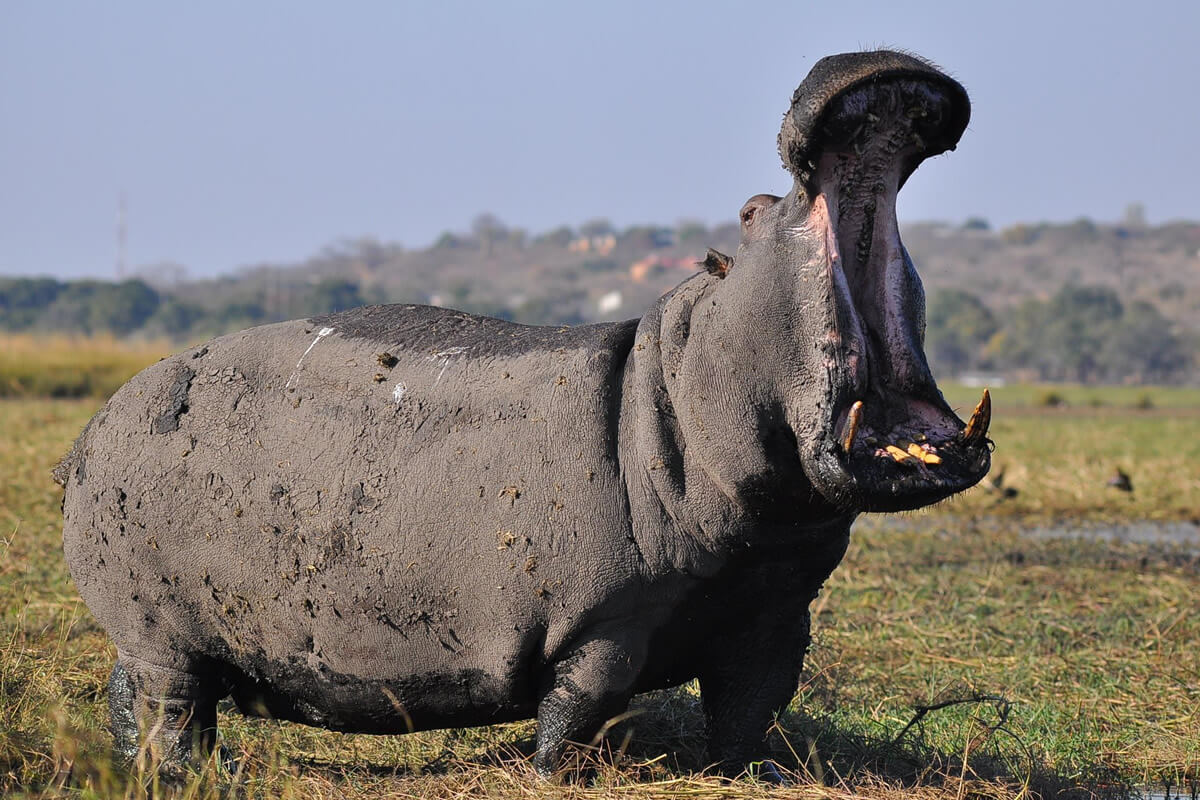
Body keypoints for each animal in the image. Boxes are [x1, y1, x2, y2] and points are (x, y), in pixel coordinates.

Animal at [59, 49, 990, 780]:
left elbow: (750, 709)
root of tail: (93, 428)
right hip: (157, 627)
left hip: (158, 638)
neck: (687, 370)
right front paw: (553, 776)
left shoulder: (773, 611)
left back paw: (134, 767)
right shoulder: (604, 623)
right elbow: (577, 709)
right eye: (753, 211)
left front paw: (752, 775)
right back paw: (181, 776)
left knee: (133, 697)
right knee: (172, 706)